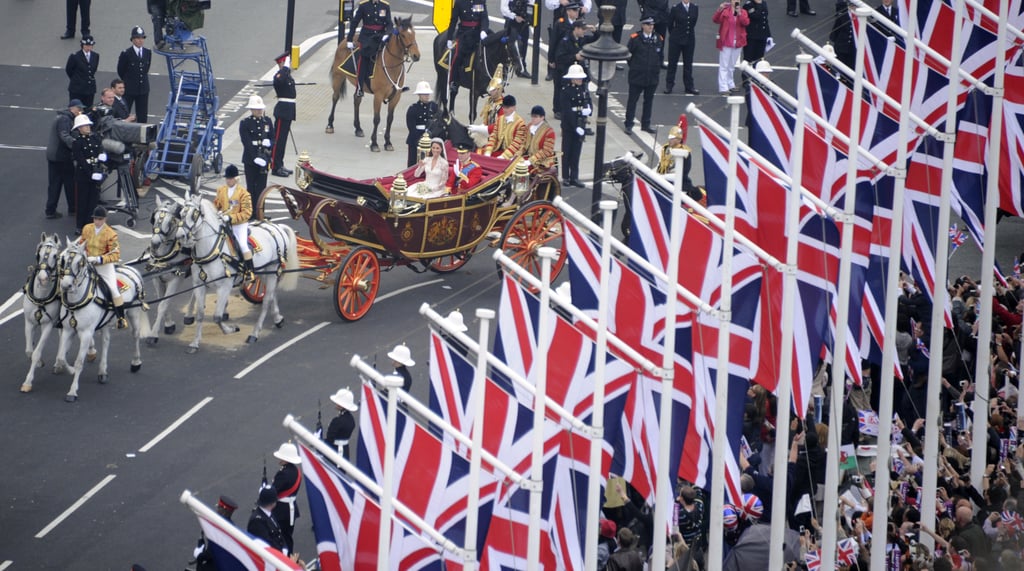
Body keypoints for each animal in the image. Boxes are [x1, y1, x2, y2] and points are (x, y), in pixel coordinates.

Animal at [52, 239, 149, 405]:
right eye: (63, 259)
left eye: (80, 263)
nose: (65, 286)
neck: (77, 300)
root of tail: (131, 269)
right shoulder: (68, 330)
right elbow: (61, 356)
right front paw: (69, 370)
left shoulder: (86, 333)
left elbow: (79, 362)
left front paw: (72, 391)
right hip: (105, 322)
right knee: (105, 342)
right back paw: (102, 372)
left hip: (133, 313)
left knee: (135, 335)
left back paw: (136, 363)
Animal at [145, 196, 198, 343]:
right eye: (154, 218)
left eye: (169, 221)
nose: (155, 243)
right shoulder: (157, 279)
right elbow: (161, 301)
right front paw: (169, 324)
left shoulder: (175, 279)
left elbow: (163, 304)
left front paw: (153, 334)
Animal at [174, 193, 296, 354]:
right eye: (181, 213)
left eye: (194, 214)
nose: (180, 236)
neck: (213, 250)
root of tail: (276, 227)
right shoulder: (199, 285)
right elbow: (200, 314)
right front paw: (195, 343)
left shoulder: (224, 287)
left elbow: (217, 317)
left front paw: (230, 329)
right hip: (264, 272)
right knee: (271, 295)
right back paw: (277, 318)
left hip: (271, 271)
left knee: (266, 301)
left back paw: (255, 333)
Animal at [329, 16, 421, 153]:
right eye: (403, 35)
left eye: (414, 34)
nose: (416, 55)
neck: (391, 64)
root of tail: (345, 39)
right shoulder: (378, 96)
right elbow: (376, 119)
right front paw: (374, 143)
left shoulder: (396, 96)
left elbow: (390, 119)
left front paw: (388, 142)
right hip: (338, 77)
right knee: (335, 97)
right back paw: (330, 125)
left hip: (359, 84)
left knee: (356, 99)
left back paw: (358, 128)